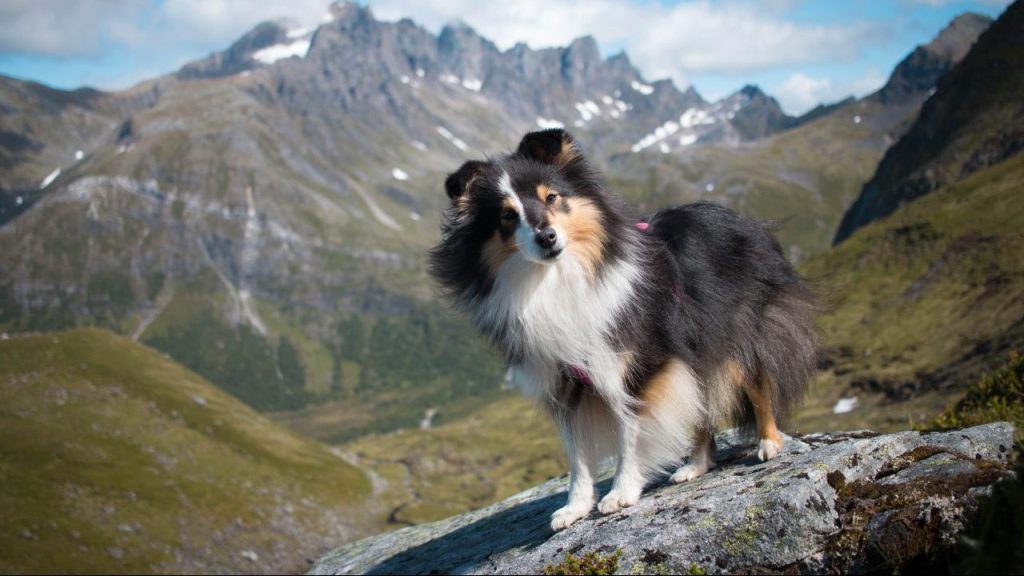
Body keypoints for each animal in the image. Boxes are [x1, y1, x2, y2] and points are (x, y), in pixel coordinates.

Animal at [428, 129, 819, 528]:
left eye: (552, 197)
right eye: (508, 216)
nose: (547, 237)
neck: (559, 281)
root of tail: (745, 221)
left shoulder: (636, 369)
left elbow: (631, 434)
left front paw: (621, 492)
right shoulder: (564, 383)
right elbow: (577, 455)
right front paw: (575, 507)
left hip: (730, 334)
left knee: (756, 381)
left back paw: (768, 442)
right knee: (699, 402)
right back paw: (696, 465)